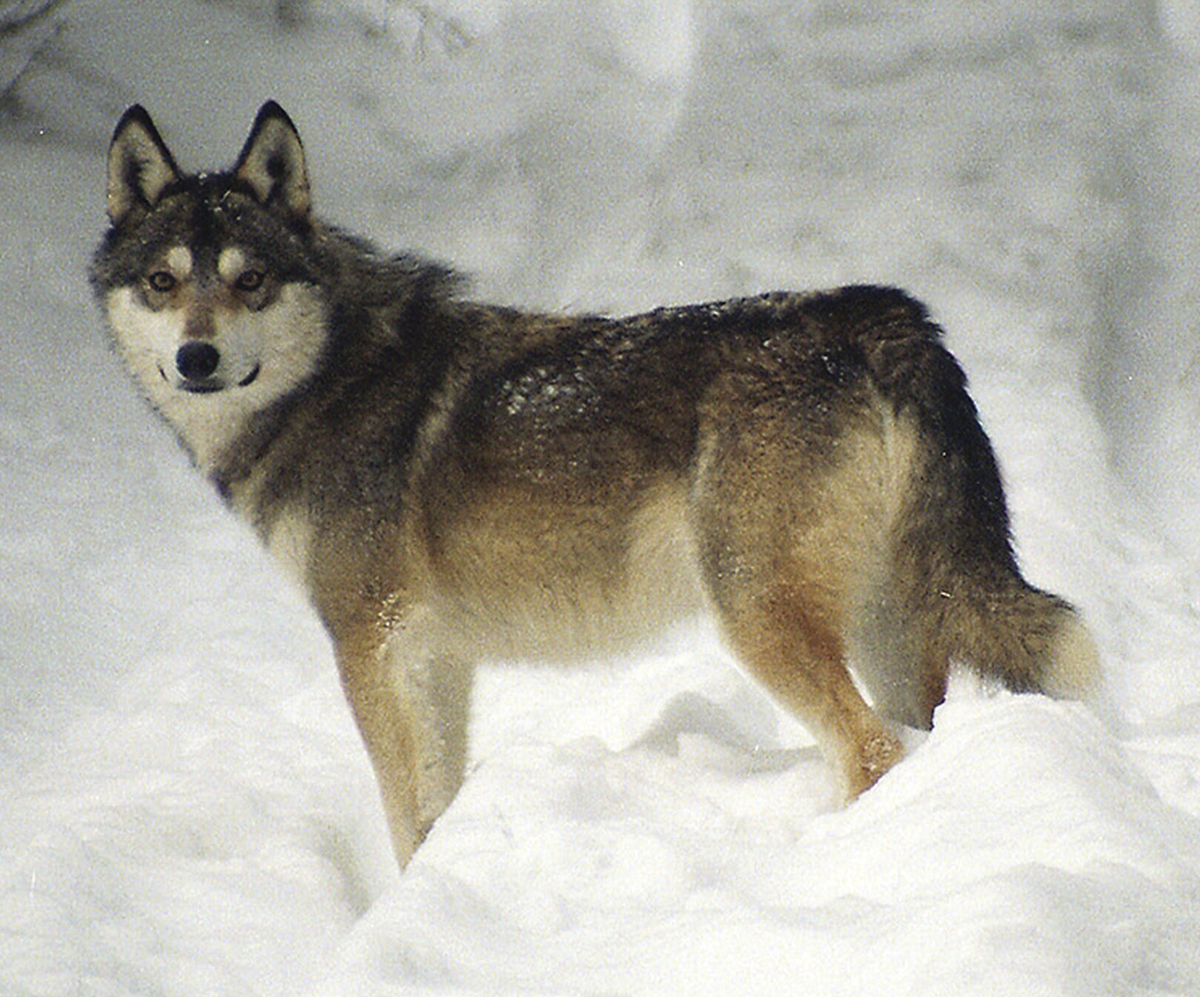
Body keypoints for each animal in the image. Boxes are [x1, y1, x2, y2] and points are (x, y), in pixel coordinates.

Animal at [93, 99, 1099, 863]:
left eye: (249, 280)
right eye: (162, 282)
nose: (196, 358)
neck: (333, 378)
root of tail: (881, 315)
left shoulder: (369, 648)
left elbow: (404, 817)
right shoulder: (437, 659)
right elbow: (436, 803)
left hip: (759, 616)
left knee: (874, 749)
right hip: (892, 624)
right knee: (916, 736)